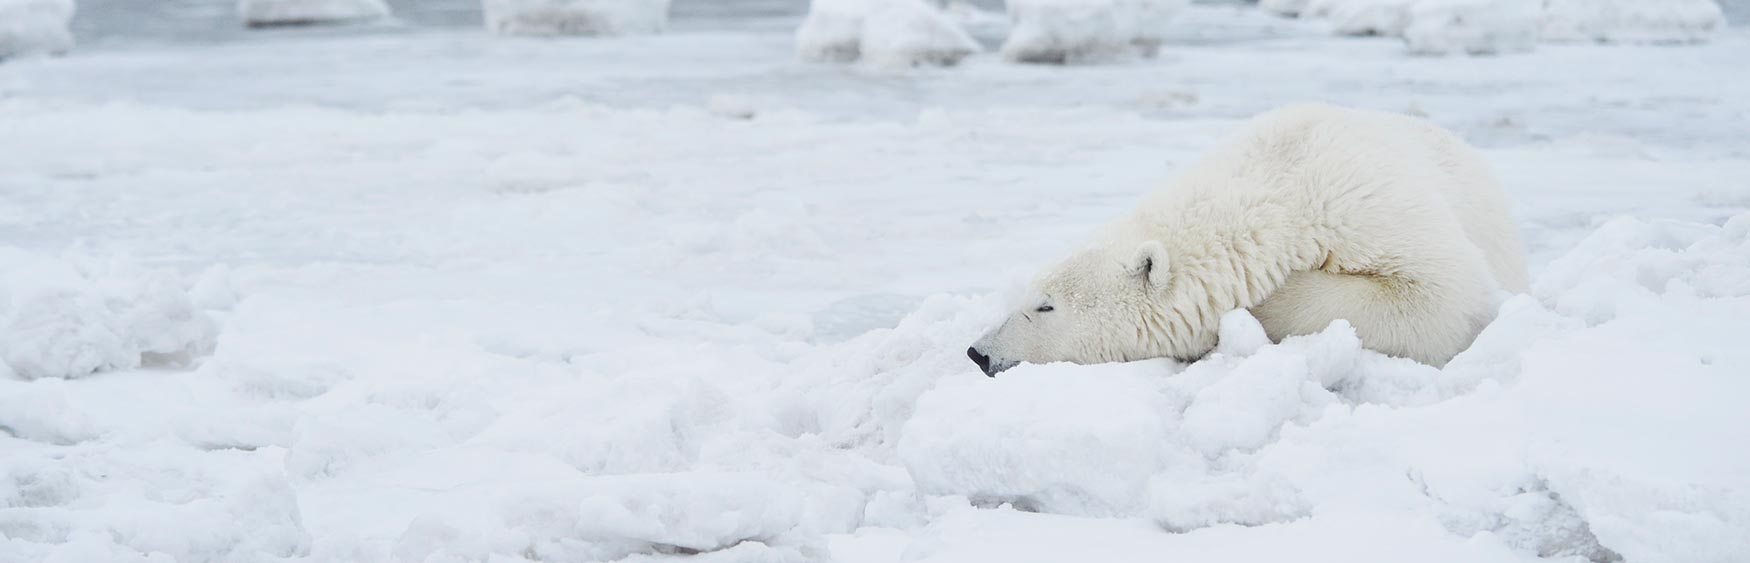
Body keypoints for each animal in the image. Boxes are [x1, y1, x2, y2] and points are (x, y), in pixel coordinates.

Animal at [966, 103, 1526, 375]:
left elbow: (1440, 298)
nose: (978, 352)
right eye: (1025, 296)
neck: (1285, 180)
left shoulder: (1369, 207)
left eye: (1044, 306)